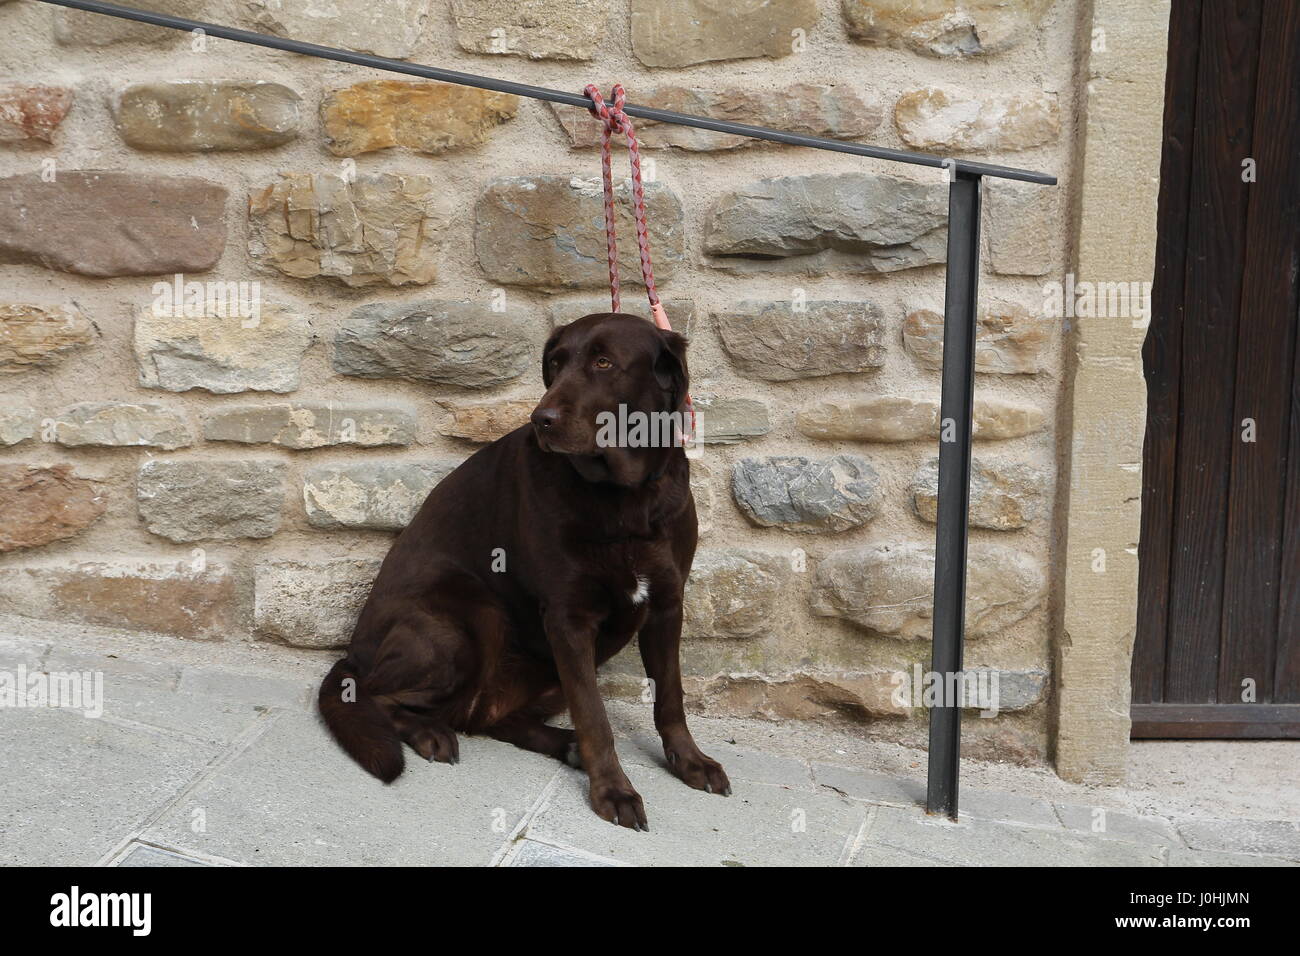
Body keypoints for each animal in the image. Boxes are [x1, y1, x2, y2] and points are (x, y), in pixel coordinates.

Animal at [319, 314, 728, 832]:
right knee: (383, 697)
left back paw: (563, 746)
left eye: (603, 362)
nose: (541, 419)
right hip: (471, 617)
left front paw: (690, 762)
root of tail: (353, 655)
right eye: (555, 363)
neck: (624, 497)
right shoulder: (569, 618)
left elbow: (670, 699)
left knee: (490, 718)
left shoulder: (666, 604)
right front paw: (613, 791)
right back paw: (431, 733)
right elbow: (596, 718)